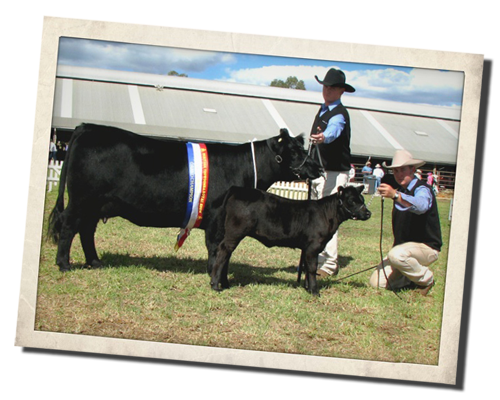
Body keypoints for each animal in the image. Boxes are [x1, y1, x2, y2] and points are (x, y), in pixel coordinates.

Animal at [48, 122, 322, 272]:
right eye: (294, 151)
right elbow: (214, 246)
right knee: (69, 226)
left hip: (95, 204)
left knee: (86, 230)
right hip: (81, 200)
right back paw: (64, 264)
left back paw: (95, 262)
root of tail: (87, 127)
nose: (318, 168)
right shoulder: (216, 215)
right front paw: (213, 271)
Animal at [209, 184, 370, 294]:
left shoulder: (307, 248)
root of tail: (238, 189)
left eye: (362, 199)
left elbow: (306, 267)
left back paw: (225, 283)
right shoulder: (313, 246)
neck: (326, 214)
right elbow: (312, 268)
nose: (368, 213)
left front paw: (307, 288)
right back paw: (215, 285)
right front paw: (314, 291)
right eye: (352, 201)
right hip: (235, 232)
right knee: (223, 252)